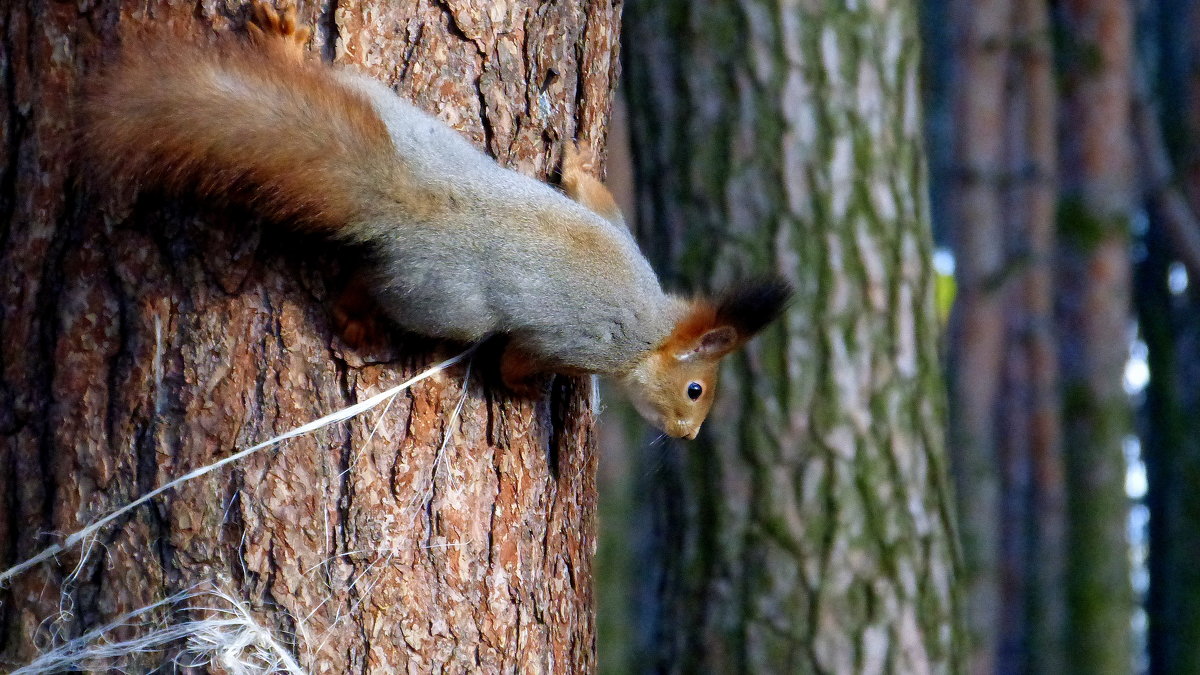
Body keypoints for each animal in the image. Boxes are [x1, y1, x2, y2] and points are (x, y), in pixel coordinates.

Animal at [87, 2, 796, 439]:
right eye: (697, 390)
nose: (687, 435)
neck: (654, 322)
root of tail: (409, 195)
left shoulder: (619, 232)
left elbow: (592, 195)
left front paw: (573, 160)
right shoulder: (588, 343)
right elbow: (521, 357)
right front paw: (526, 388)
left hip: (384, 107)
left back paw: (281, 46)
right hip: (445, 303)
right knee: (377, 288)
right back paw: (356, 318)